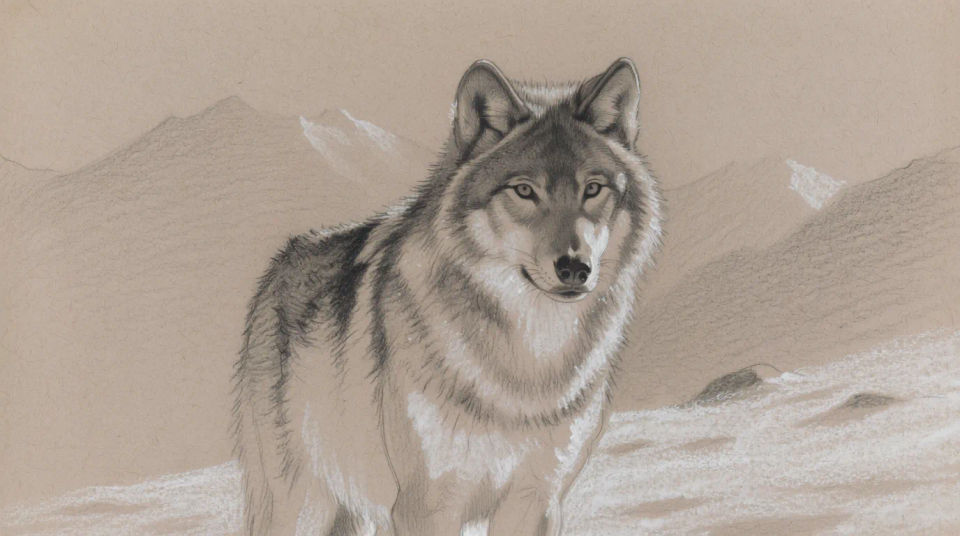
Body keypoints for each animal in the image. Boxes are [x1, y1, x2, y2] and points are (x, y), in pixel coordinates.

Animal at [232, 58, 663, 536]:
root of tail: (283, 261)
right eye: (524, 191)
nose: (574, 267)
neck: (528, 363)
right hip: (301, 506)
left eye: (592, 189)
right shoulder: (426, 506)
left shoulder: (536, 500)